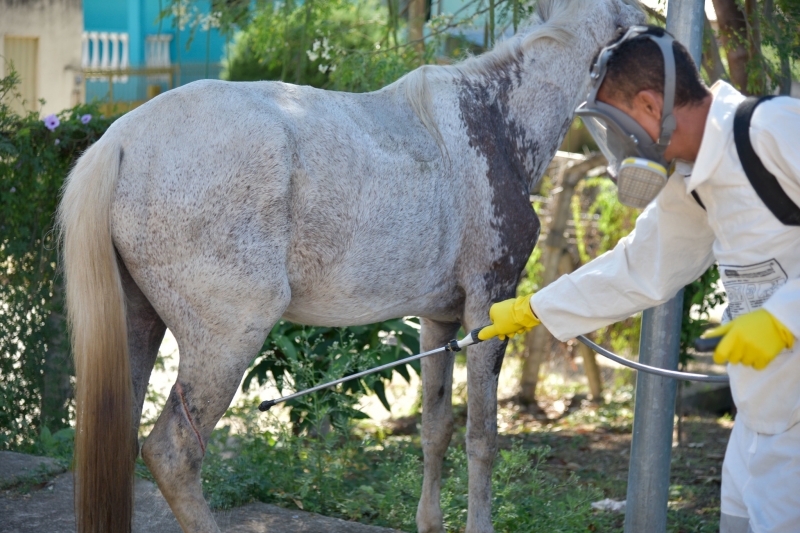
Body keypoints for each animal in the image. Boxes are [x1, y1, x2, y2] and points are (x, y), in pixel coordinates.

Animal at [57, 1, 644, 532]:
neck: (496, 119)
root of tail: (121, 140)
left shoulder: (441, 321)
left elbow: (436, 428)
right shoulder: (489, 306)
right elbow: (483, 436)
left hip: (138, 324)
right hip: (227, 339)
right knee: (174, 454)